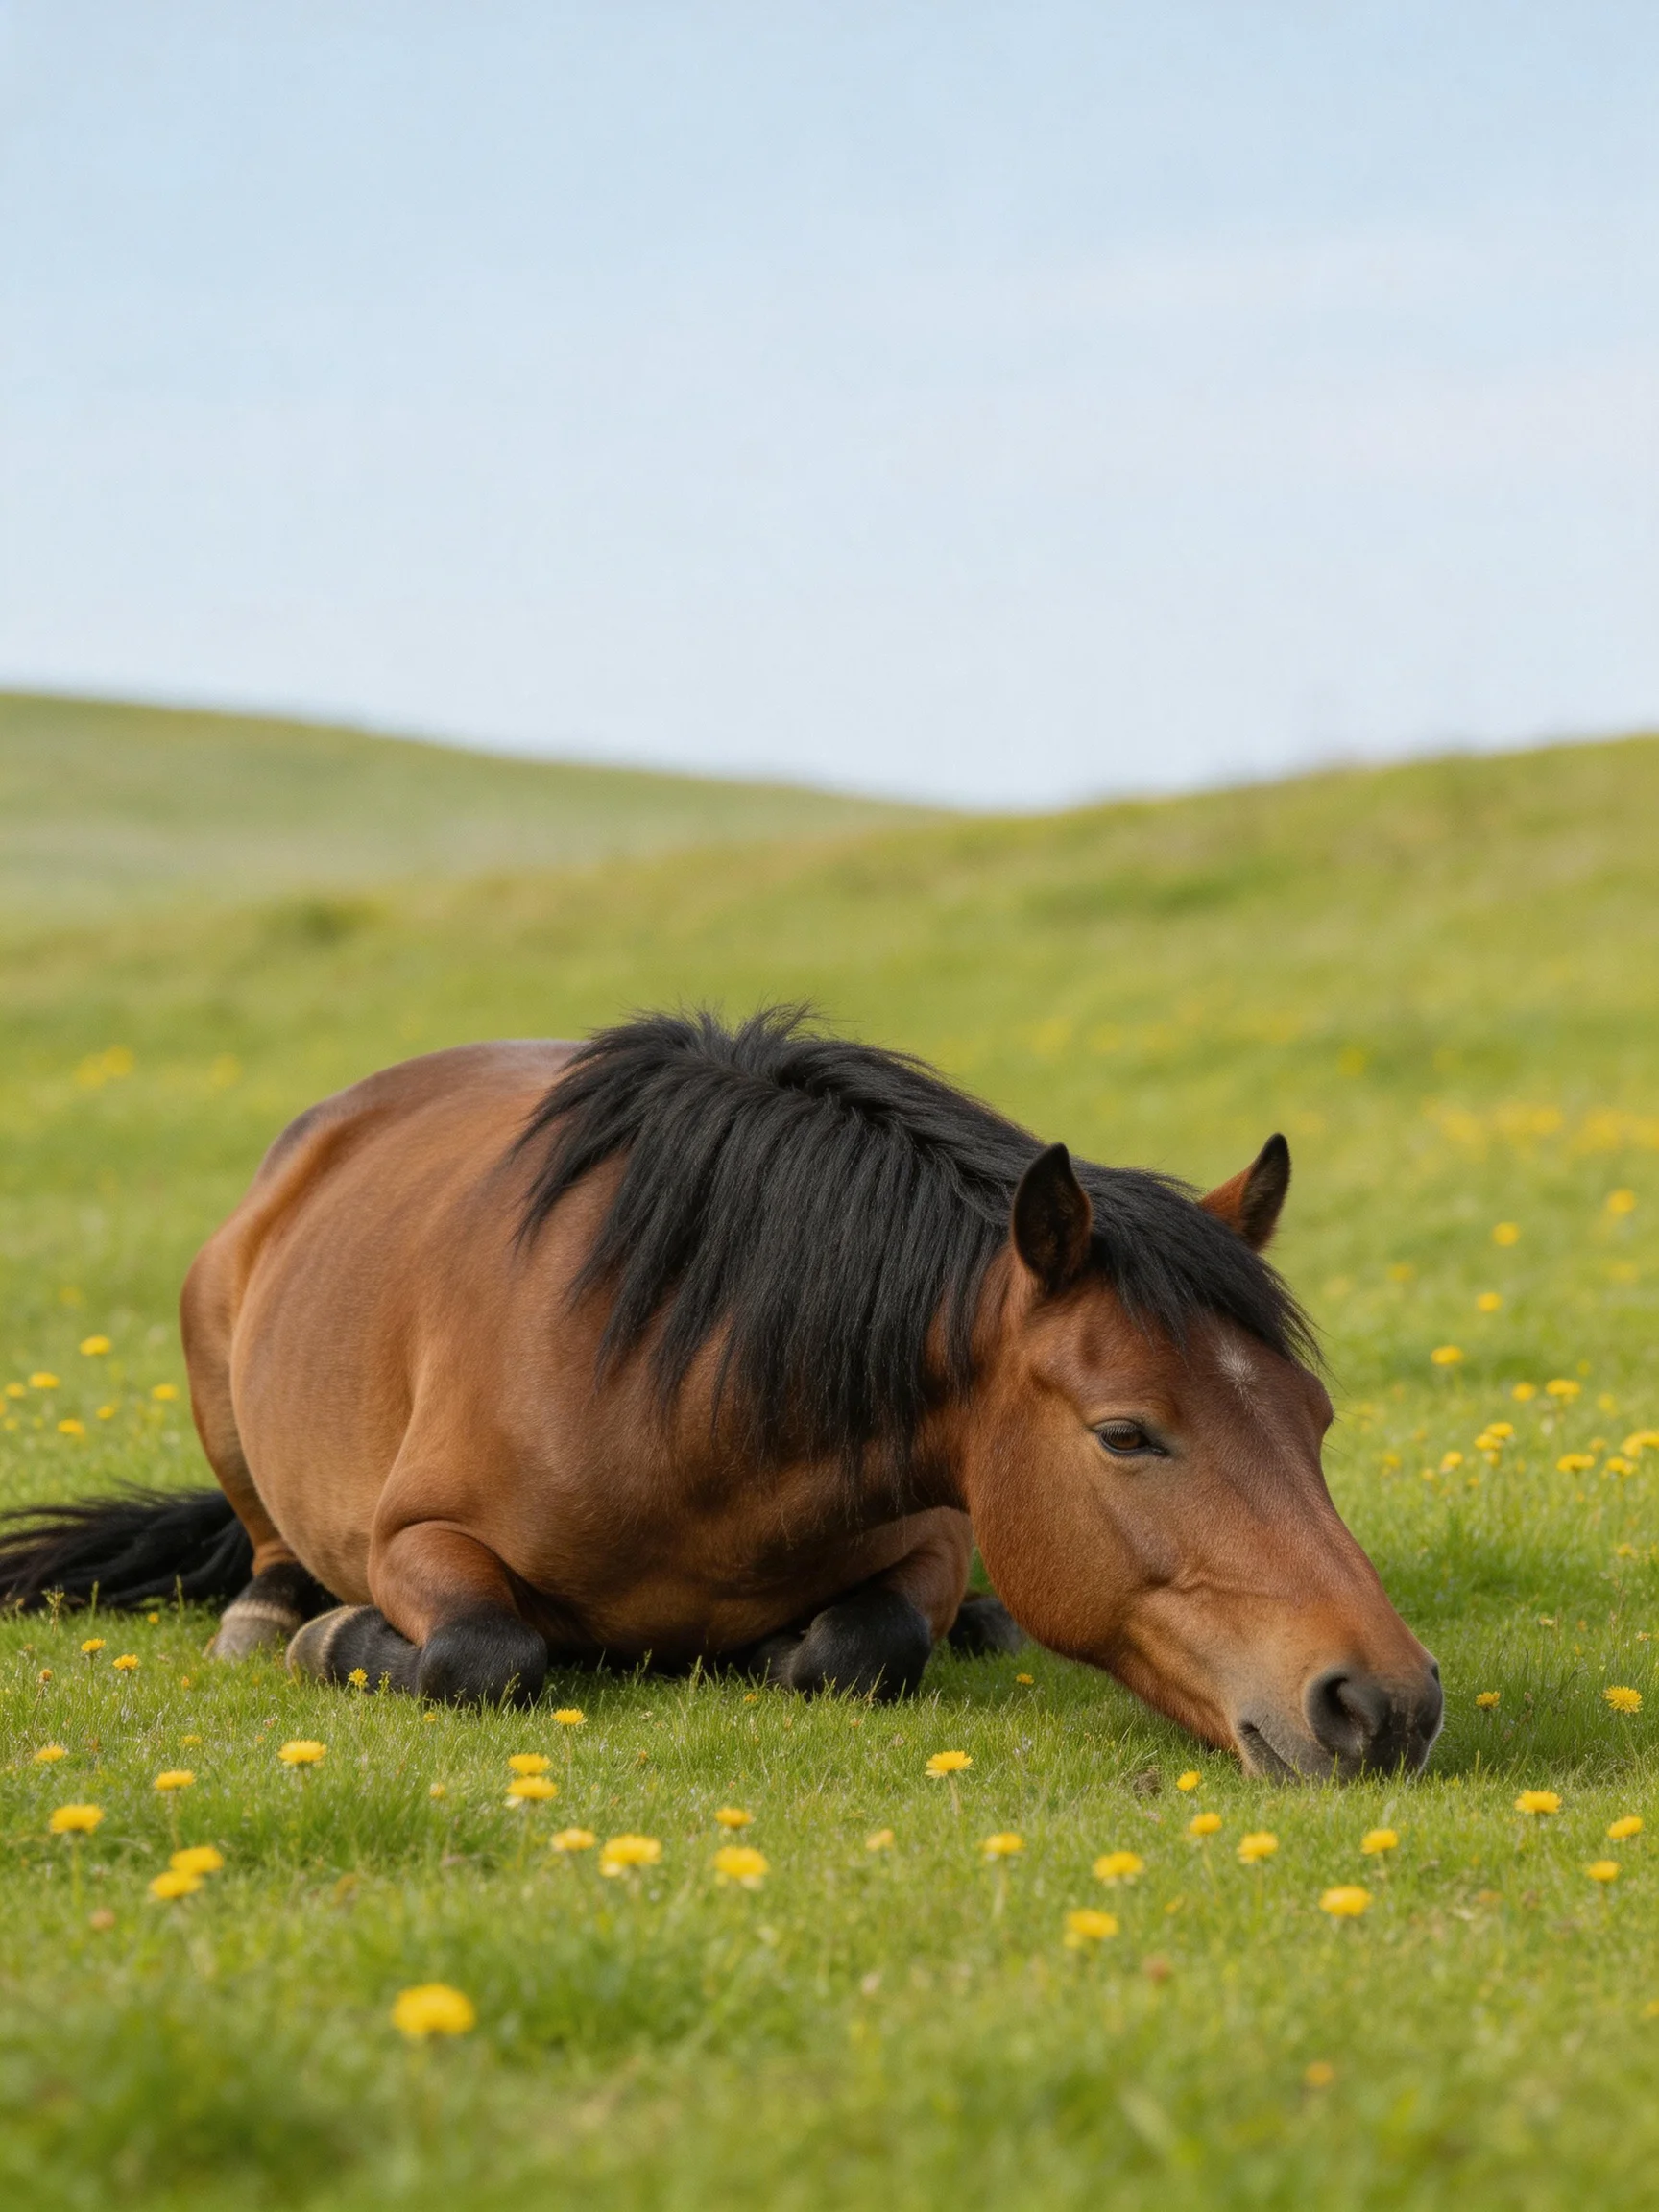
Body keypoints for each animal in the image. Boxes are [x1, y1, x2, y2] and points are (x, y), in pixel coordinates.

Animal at [0, 1008, 1441, 1778]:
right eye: (1127, 1434)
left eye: (1314, 1421)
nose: (1387, 1705)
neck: (687, 1403)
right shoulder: (417, 1540)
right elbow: (483, 1654)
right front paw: (341, 1642)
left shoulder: (934, 1530)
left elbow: (873, 1643)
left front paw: (792, 1646)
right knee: (264, 1549)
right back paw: (271, 1615)